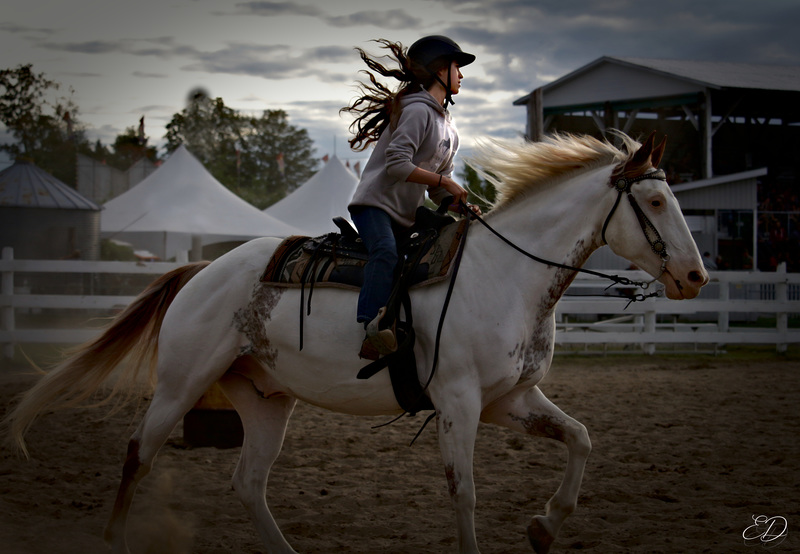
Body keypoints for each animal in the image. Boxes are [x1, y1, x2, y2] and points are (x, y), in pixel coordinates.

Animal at [4, 132, 708, 548]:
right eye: (654, 201)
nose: (696, 276)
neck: (505, 274)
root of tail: (201, 269)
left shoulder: (511, 400)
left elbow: (581, 439)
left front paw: (544, 524)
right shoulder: (458, 403)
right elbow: (465, 491)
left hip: (265, 400)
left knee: (247, 482)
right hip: (180, 385)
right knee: (136, 455)